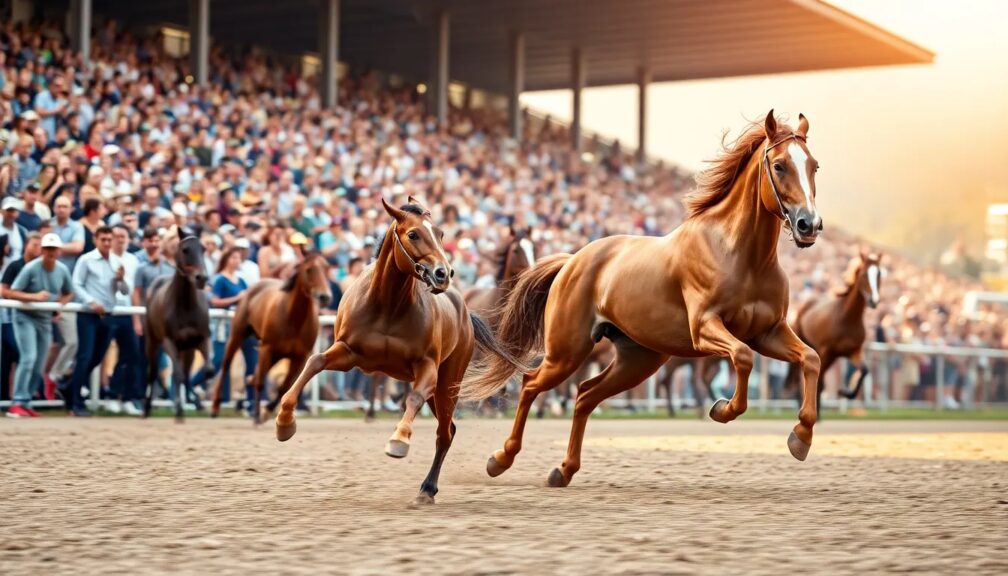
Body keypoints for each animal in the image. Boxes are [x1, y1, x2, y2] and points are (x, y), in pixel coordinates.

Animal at [142, 236, 212, 422]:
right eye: (185, 250)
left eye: (203, 249)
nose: (201, 278)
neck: (186, 305)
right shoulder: (169, 341)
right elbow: (177, 374)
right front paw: (179, 410)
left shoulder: (201, 338)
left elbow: (207, 370)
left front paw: (197, 401)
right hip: (152, 341)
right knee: (153, 371)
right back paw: (147, 408)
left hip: (187, 349)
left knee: (185, 372)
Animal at [209, 252, 332, 424]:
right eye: (309, 269)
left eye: (326, 268)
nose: (325, 296)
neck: (294, 319)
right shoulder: (267, 347)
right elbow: (261, 382)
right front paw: (257, 415)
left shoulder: (300, 355)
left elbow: (285, 386)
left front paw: (267, 411)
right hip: (238, 335)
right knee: (227, 365)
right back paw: (215, 406)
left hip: (276, 354)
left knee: (255, 375)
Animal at [273, 197, 524, 505]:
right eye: (413, 234)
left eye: (440, 233)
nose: (443, 274)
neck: (387, 306)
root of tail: (465, 310)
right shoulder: (348, 352)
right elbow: (315, 362)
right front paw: (284, 421)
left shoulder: (427, 366)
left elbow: (414, 397)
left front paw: (398, 440)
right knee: (448, 429)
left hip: (448, 382)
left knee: (445, 433)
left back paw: (427, 488)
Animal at [464, 111, 824, 487]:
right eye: (780, 165)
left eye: (814, 165)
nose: (808, 225)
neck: (740, 255)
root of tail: (572, 261)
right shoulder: (706, 328)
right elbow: (742, 358)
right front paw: (721, 409)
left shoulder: (768, 332)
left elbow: (811, 359)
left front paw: (801, 438)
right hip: (566, 352)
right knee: (532, 384)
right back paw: (500, 459)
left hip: (637, 360)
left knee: (585, 395)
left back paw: (563, 470)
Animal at [788, 251, 882, 413]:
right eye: (864, 274)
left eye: (879, 274)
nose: (873, 300)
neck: (846, 318)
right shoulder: (825, 351)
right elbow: (818, 383)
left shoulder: (853, 351)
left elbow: (864, 370)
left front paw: (844, 392)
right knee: (801, 381)